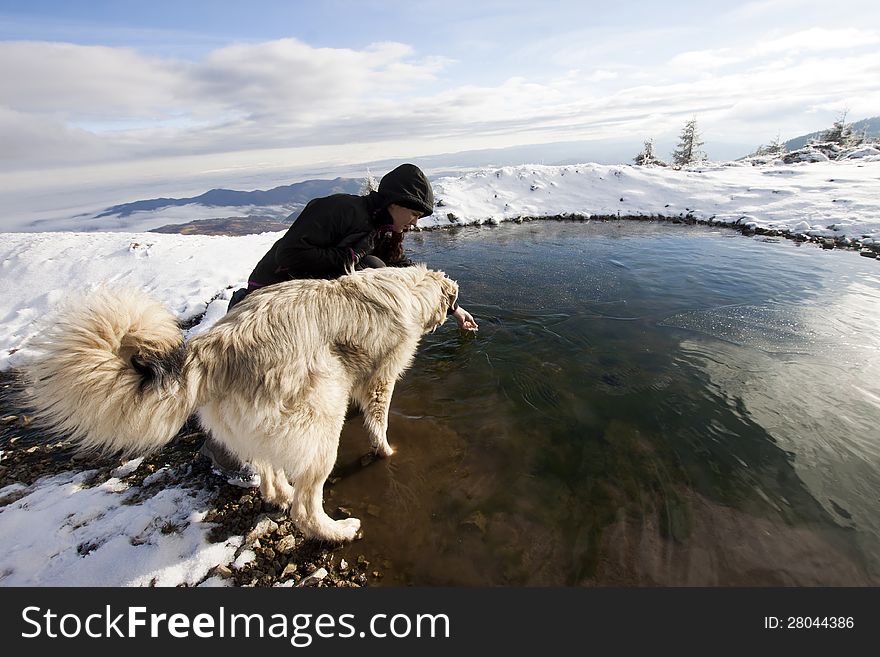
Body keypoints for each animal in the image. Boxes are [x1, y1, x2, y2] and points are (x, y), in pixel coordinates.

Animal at [23, 264, 458, 540]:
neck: (411, 287)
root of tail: (215, 347)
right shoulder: (381, 378)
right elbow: (378, 421)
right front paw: (386, 450)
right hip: (321, 423)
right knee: (305, 507)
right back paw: (336, 531)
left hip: (261, 423)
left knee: (267, 470)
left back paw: (279, 493)